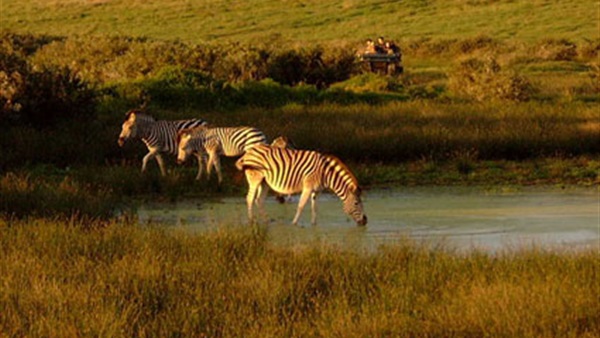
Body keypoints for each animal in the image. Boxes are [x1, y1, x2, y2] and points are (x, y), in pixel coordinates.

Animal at [234, 143, 366, 226]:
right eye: (356, 203)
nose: (365, 221)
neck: (325, 174)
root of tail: (249, 152)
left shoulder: (316, 191)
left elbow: (314, 208)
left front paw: (314, 225)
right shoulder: (307, 187)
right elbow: (301, 206)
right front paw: (294, 223)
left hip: (264, 182)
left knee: (259, 200)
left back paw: (266, 221)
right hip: (255, 178)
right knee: (250, 198)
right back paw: (251, 221)